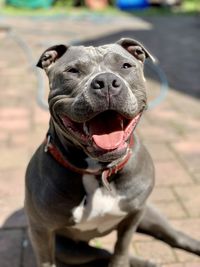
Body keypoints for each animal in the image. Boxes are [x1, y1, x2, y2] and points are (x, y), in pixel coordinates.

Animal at [24, 38, 200, 267]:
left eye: (126, 66)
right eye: (73, 71)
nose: (106, 81)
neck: (98, 171)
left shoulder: (134, 215)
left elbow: (121, 248)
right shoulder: (41, 231)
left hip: (150, 213)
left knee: (175, 236)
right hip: (69, 249)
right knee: (101, 253)